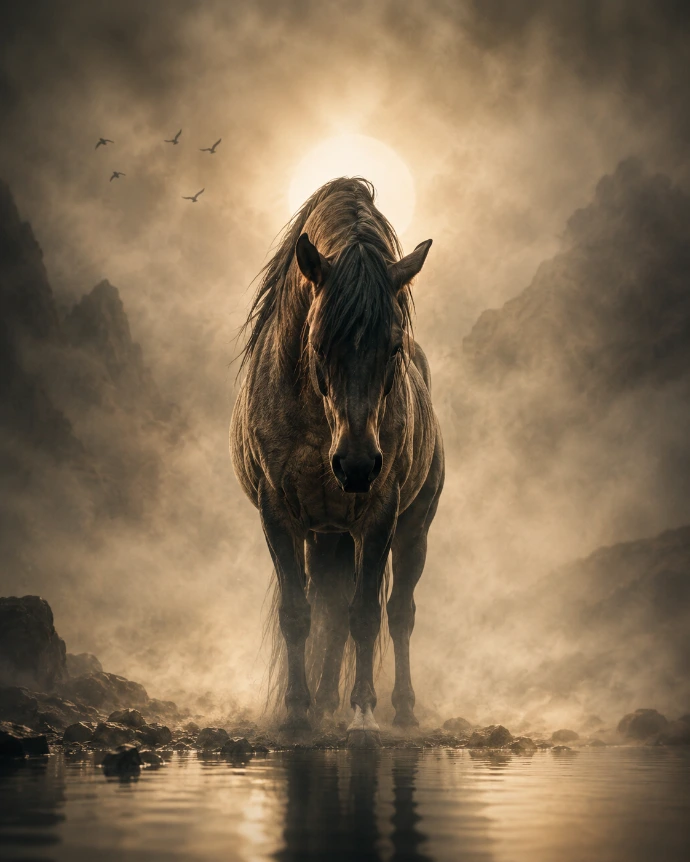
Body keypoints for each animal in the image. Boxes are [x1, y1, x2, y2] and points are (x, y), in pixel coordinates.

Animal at [230, 177, 444, 743]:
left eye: (393, 348)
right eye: (319, 343)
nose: (357, 465)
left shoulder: (380, 514)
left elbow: (366, 614)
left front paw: (363, 713)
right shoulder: (278, 514)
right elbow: (299, 613)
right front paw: (298, 712)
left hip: (412, 528)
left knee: (399, 612)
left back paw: (400, 709)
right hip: (326, 535)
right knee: (329, 607)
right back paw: (326, 702)